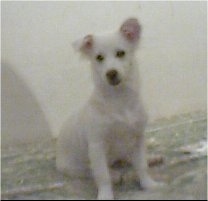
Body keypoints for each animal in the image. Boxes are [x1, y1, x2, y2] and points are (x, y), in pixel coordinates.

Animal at [56, 18, 160, 199]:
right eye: (99, 57)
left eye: (121, 53)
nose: (111, 73)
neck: (119, 100)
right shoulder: (97, 145)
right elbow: (102, 175)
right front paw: (105, 195)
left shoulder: (138, 138)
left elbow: (141, 165)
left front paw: (149, 185)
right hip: (73, 167)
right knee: (91, 170)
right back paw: (115, 174)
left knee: (128, 158)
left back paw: (152, 158)